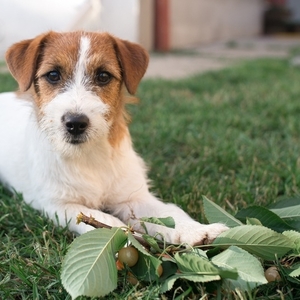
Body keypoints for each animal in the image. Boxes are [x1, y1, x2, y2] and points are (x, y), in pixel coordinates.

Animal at [0, 31, 226, 245]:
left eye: (103, 76)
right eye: (53, 75)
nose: (75, 123)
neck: (89, 155)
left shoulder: (133, 197)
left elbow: (168, 212)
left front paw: (197, 231)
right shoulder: (59, 205)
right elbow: (104, 221)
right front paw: (127, 240)